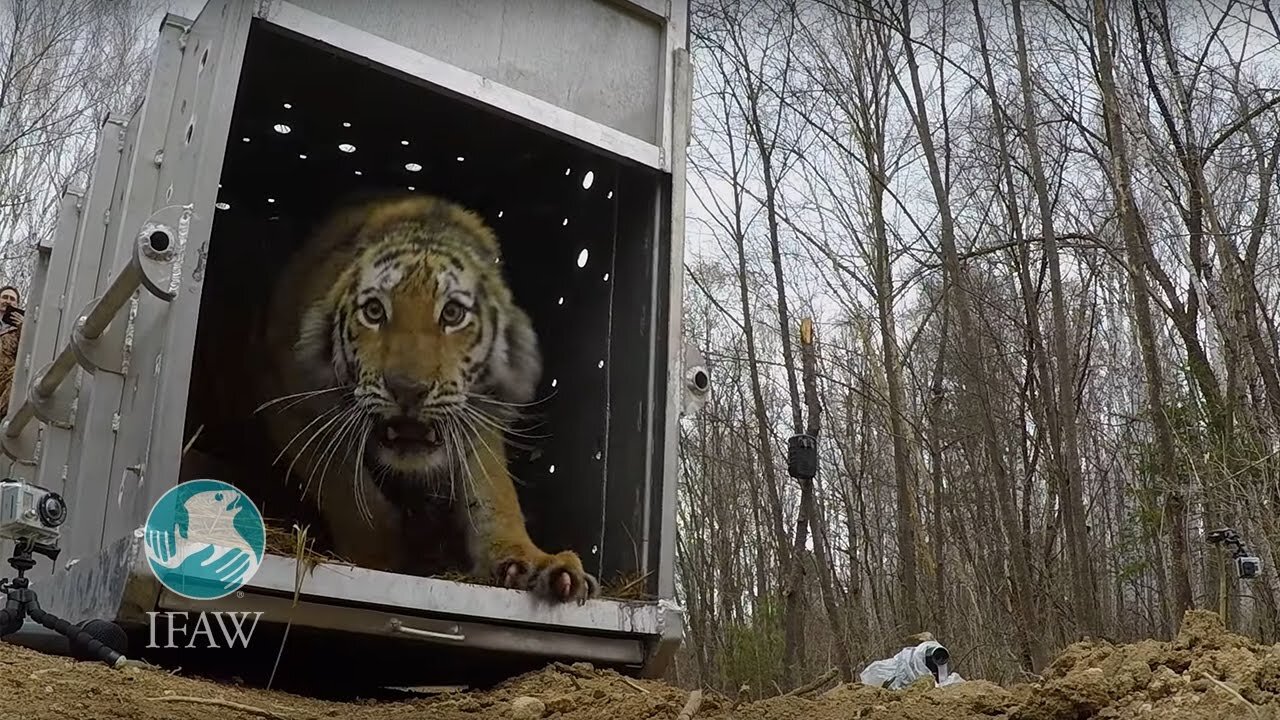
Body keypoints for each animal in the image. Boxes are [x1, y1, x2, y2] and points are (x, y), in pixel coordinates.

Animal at [243, 190, 599, 599]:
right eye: (374, 311)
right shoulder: (289, 400)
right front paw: (378, 558)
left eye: (453, 314)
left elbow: (495, 495)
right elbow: (347, 490)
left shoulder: (479, 416)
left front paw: (539, 563)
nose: (408, 389)